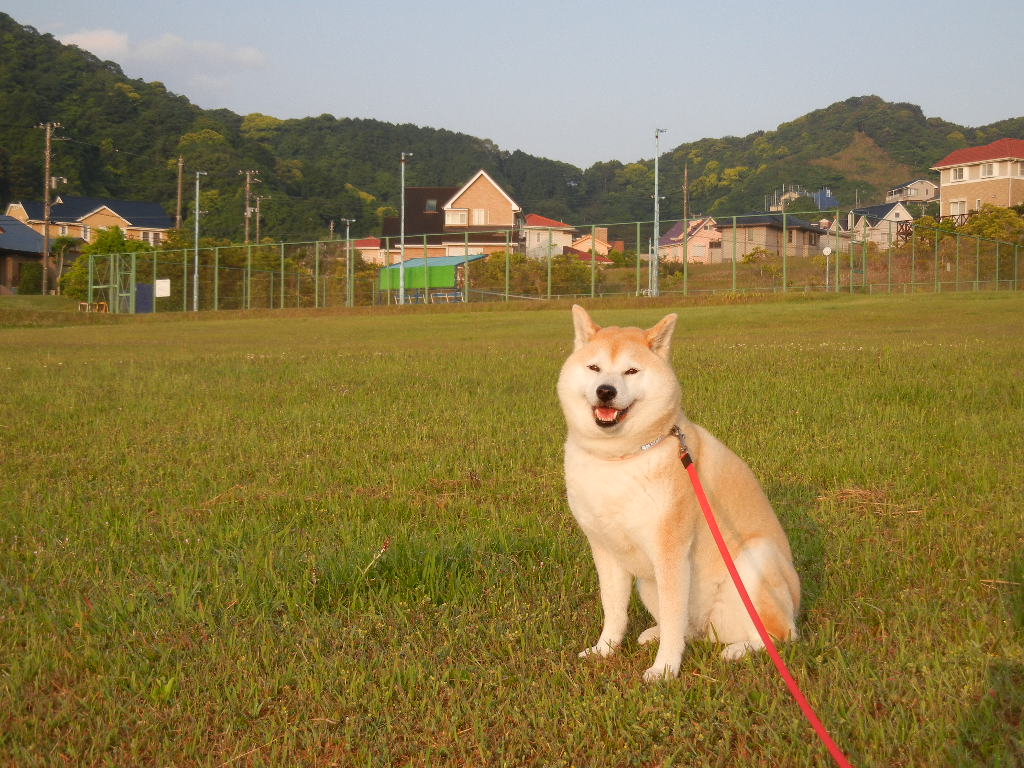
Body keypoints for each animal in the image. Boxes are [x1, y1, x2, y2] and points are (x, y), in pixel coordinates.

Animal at [561, 303, 798, 684]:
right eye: (594, 367)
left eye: (631, 370)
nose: (605, 391)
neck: (621, 457)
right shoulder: (606, 549)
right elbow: (614, 610)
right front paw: (604, 650)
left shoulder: (670, 550)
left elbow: (673, 618)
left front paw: (665, 669)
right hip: (648, 583)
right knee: (689, 629)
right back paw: (655, 633)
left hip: (755, 559)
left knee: (780, 634)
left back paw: (738, 650)